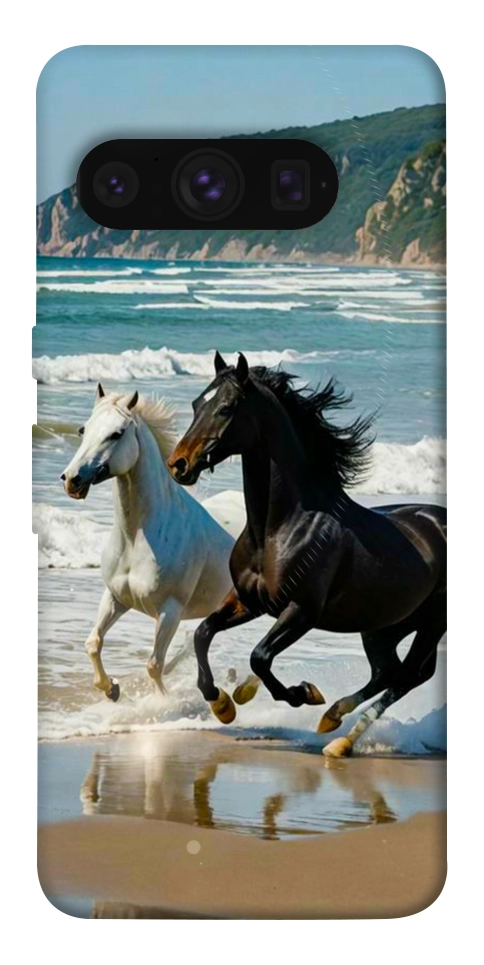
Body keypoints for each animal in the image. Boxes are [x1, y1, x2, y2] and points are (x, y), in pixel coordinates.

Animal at [61, 383, 234, 701]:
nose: (71, 480)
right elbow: (93, 643)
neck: (137, 538)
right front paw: (111, 689)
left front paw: (162, 703)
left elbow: (154, 665)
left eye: (116, 433)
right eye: (83, 430)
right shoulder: (116, 597)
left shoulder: (170, 611)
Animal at [167, 352, 447, 757]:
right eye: (195, 404)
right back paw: (333, 721)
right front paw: (222, 704)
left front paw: (302, 694)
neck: (279, 528)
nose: (179, 464)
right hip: (383, 626)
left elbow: (260, 657)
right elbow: (203, 634)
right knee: (389, 672)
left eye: (226, 407)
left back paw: (339, 736)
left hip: (430, 623)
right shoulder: (249, 601)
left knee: (408, 675)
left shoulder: (301, 611)